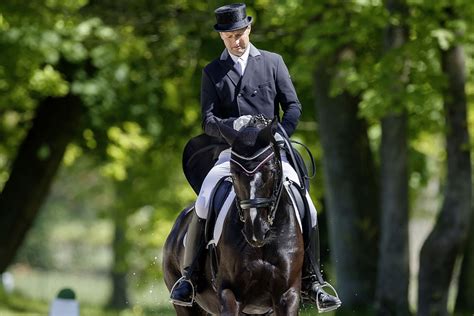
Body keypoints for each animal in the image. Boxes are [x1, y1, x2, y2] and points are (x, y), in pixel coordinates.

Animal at [163, 119, 304, 316]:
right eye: (234, 173)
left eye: (270, 170)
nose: (255, 231)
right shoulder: (230, 293)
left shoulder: (287, 295)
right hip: (186, 305)